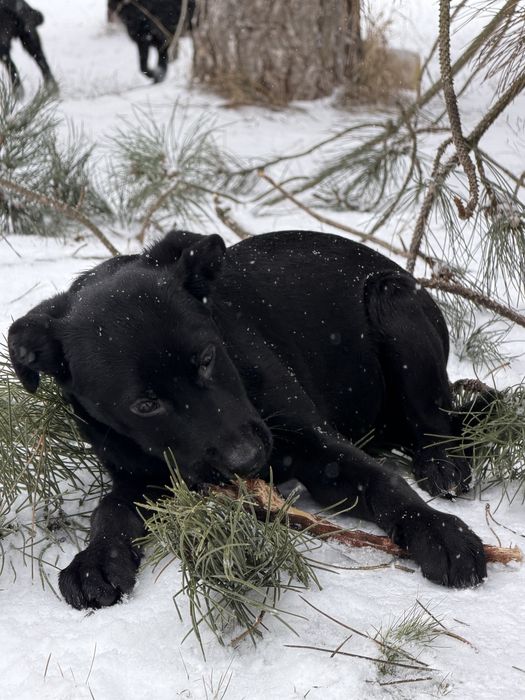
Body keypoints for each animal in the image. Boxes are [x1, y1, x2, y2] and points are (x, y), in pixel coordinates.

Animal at [8, 230, 487, 609]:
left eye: (206, 359)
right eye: (144, 406)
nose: (248, 459)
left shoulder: (316, 444)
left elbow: (383, 482)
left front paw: (439, 533)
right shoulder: (140, 479)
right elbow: (110, 513)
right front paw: (96, 562)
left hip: (392, 303)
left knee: (434, 417)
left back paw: (441, 463)